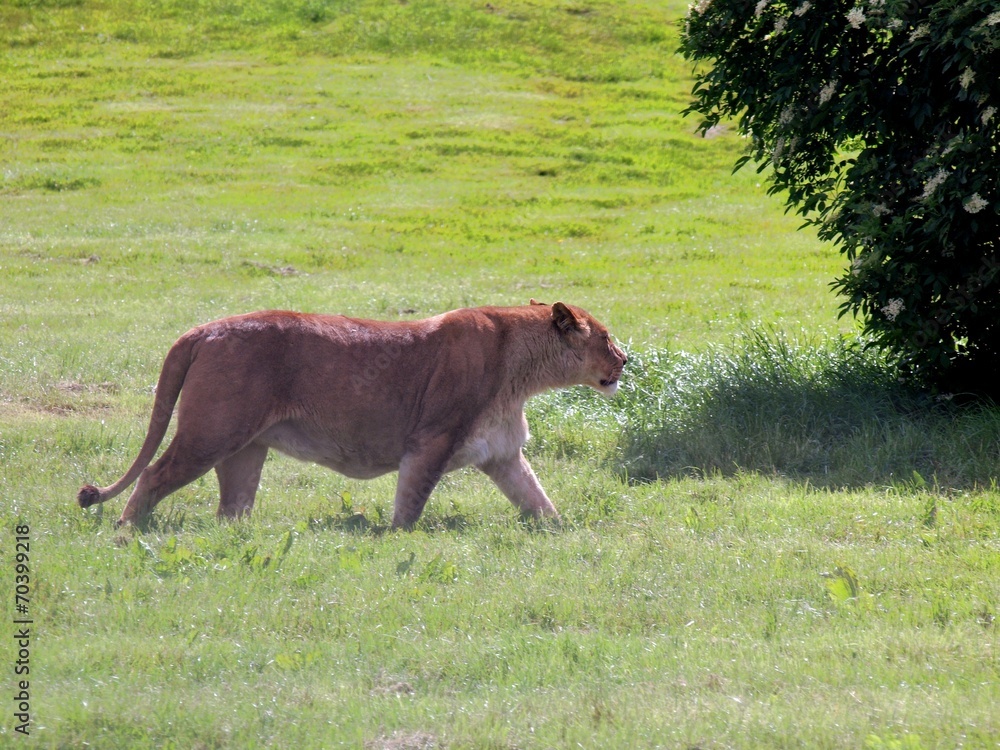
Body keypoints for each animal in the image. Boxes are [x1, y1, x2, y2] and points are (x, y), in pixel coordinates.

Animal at [77, 300, 627, 529]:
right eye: (605, 337)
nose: (625, 360)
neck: (522, 372)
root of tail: (202, 329)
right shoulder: (430, 441)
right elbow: (410, 504)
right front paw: (392, 539)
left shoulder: (504, 455)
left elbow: (539, 501)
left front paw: (561, 536)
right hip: (210, 432)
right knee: (153, 474)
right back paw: (128, 531)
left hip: (245, 448)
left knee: (232, 507)